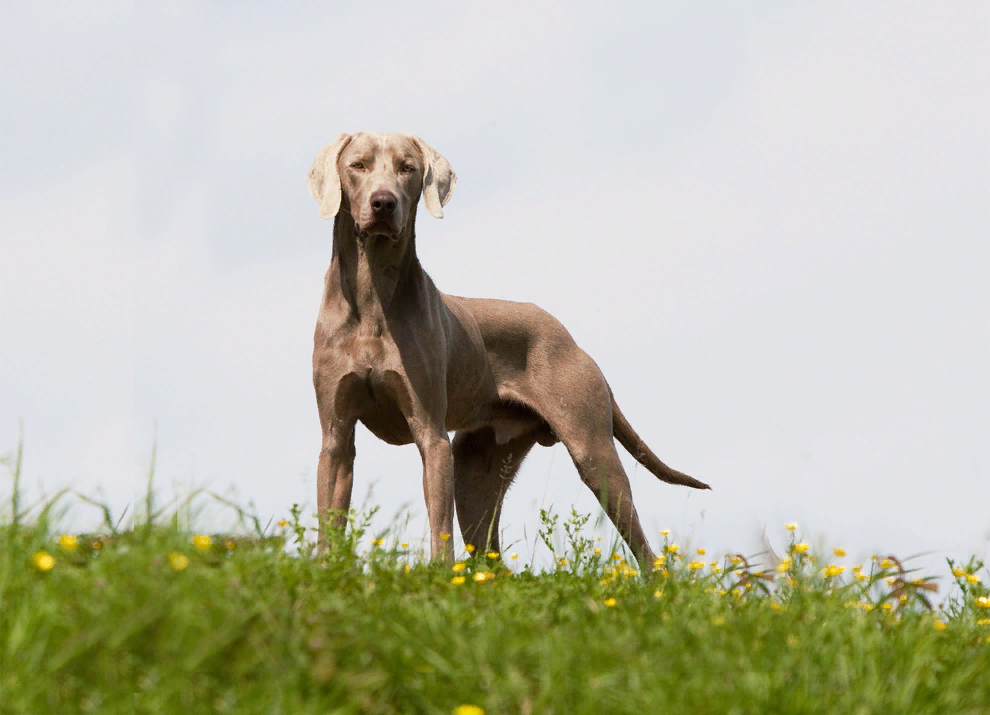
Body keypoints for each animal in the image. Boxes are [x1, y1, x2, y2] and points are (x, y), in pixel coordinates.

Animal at [306, 133, 708, 572]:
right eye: (358, 165)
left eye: (407, 168)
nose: (383, 203)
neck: (371, 298)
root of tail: (571, 339)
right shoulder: (335, 435)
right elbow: (330, 516)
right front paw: (325, 570)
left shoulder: (431, 434)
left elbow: (439, 525)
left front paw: (439, 575)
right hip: (475, 467)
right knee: (491, 556)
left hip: (592, 451)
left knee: (645, 550)